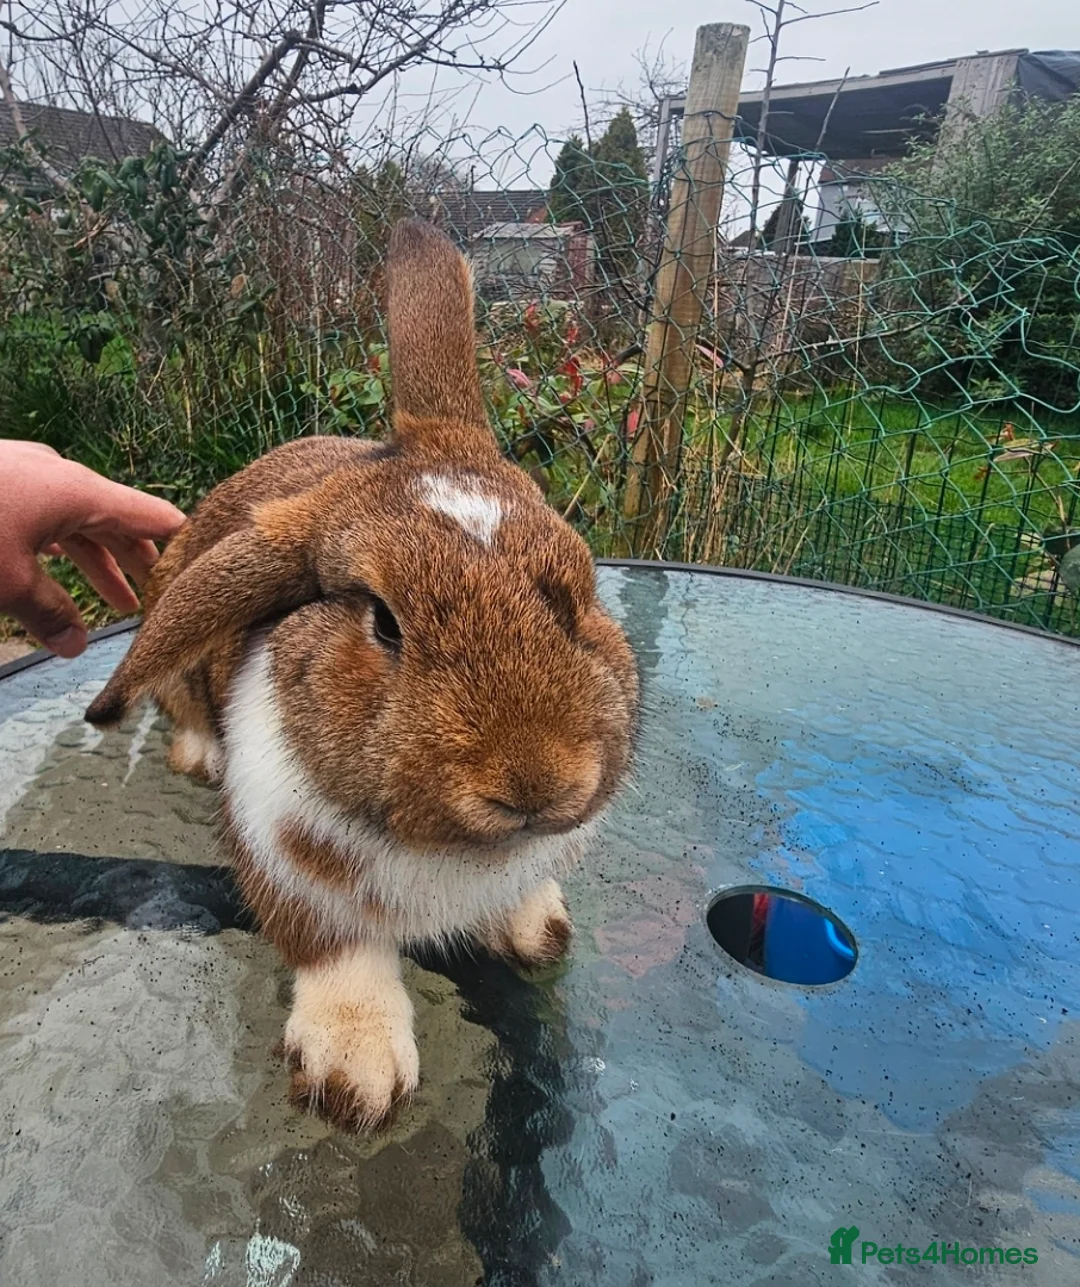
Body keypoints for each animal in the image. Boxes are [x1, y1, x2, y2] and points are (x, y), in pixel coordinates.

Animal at [84, 218, 640, 1131]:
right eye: (383, 621)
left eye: (576, 596)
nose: (535, 781)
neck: (453, 853)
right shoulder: (288, 863)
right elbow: (338, 952)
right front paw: (358, 1071)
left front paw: (538, 930)